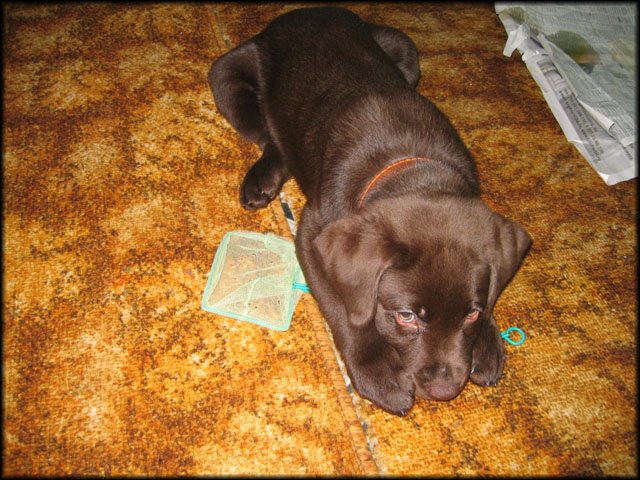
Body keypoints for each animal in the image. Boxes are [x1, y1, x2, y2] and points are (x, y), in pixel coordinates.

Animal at [209, 6, 531, 416]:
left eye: (471, 314)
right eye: (405, 316)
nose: (445, 390)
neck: (411, 166)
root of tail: (301, 12)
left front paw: (488, 342)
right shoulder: (313, 234)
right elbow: (348, 309)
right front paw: (377, 371)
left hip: (406, 50)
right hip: (227, 75)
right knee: (270, 134)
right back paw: (261, 180)